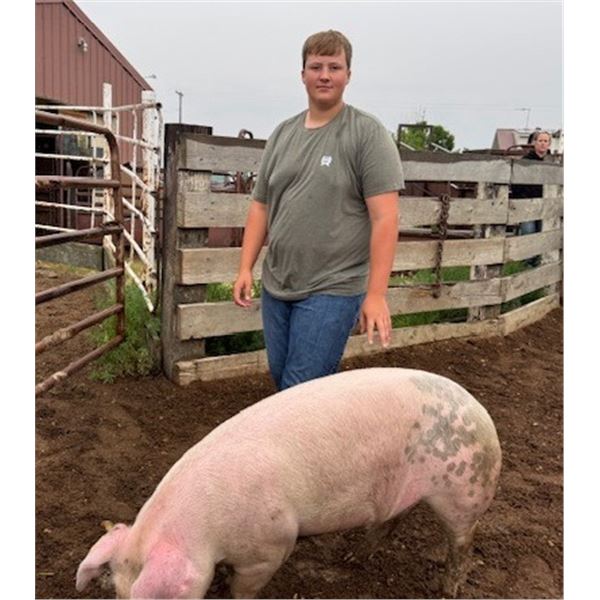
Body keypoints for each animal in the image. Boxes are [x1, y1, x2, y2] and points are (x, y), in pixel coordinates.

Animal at [76, 367, 502, 599]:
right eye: (116, 590)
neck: (203, 532)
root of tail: (479, 409)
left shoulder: (273, 544)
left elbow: (246, 586)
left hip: (465, 490)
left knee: (462, 544)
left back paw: (447, 591)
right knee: (391, 520)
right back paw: (350, 559)